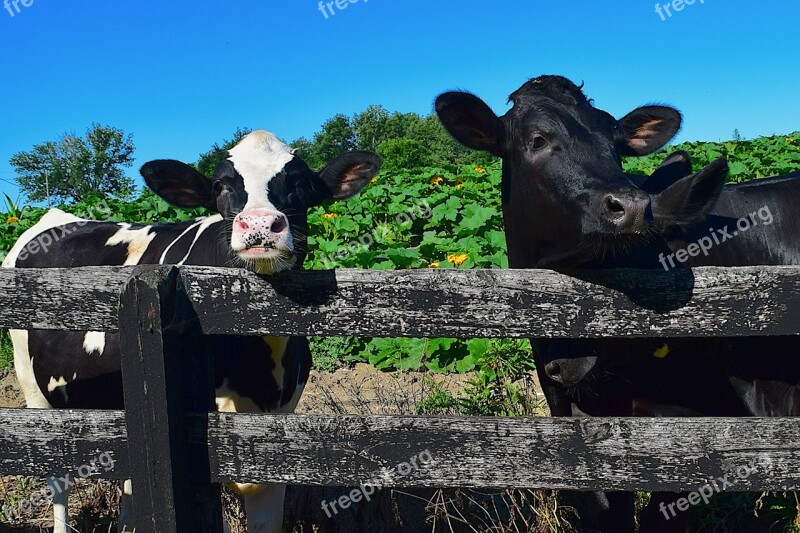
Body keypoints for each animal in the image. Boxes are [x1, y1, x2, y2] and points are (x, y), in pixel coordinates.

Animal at [0, 130, 382, 532]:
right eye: (220, 185)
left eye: (300, 183)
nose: (260, 224)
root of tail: (57, 216)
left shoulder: (277, 438)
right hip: (34, 390)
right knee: (58, 480)